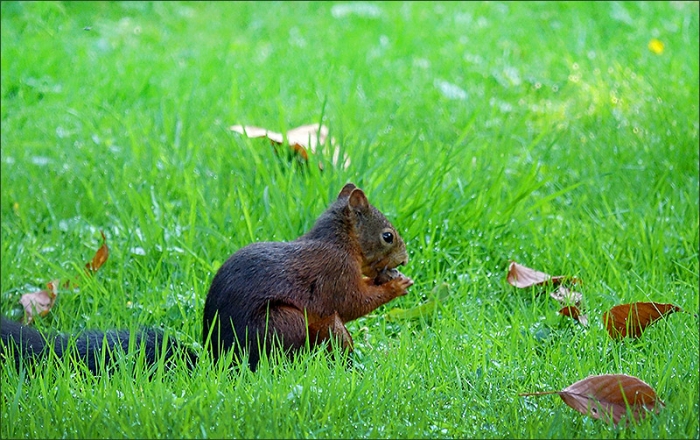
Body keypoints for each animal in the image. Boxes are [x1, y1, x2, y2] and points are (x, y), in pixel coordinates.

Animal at [1, 183, 412, 373]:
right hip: (284, 322)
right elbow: (352, 301)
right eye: (388, 236)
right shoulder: (333, 272)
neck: (337, 241)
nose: (406, 259)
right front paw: (396, 284)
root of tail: (218, 360)